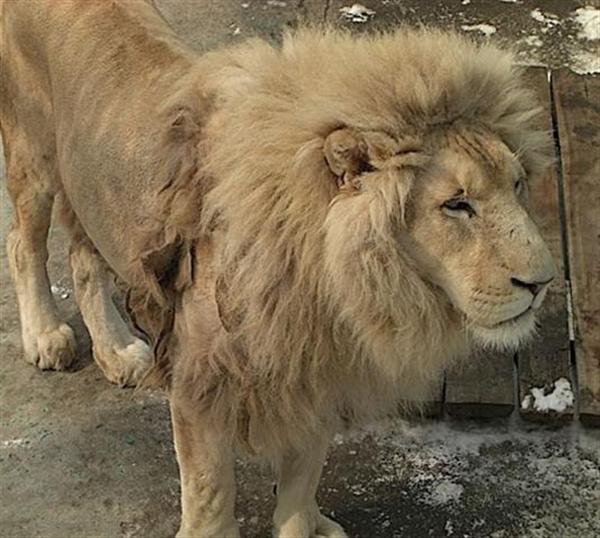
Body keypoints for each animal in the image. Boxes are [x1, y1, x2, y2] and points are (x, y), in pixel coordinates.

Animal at [0, 1, 556, 536]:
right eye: (457, 205)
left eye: (518, 184)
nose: (543, 282)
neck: (330, 283)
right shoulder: (201, 383)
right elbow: (210, 495)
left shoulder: (317, 374)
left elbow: (303, 479)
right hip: (34, 156)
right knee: (23, 244)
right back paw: (46, 336)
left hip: (90, 191)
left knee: (82, 258)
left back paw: (116, 352)